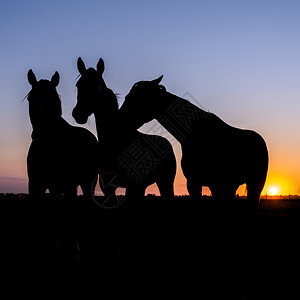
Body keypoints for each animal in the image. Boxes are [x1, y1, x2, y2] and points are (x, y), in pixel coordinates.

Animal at [26, 70, 97, 202]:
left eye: (53, 100)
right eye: (30, 98)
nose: (39, 134)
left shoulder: (67, 186)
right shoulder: (35, 185)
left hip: (87, 183)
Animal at [72, 58, 176, 206]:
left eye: (98, 86)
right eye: (78, 85)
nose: (78, 114)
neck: (118, 140)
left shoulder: (136, 188)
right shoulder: (107, 188)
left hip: (165, 182)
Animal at [119, 76, 270, 209]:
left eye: (130, 97)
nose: (121, 119)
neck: (194, 133)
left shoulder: (206, 183)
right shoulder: (202, 184)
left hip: (255, 184)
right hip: (231, 186)